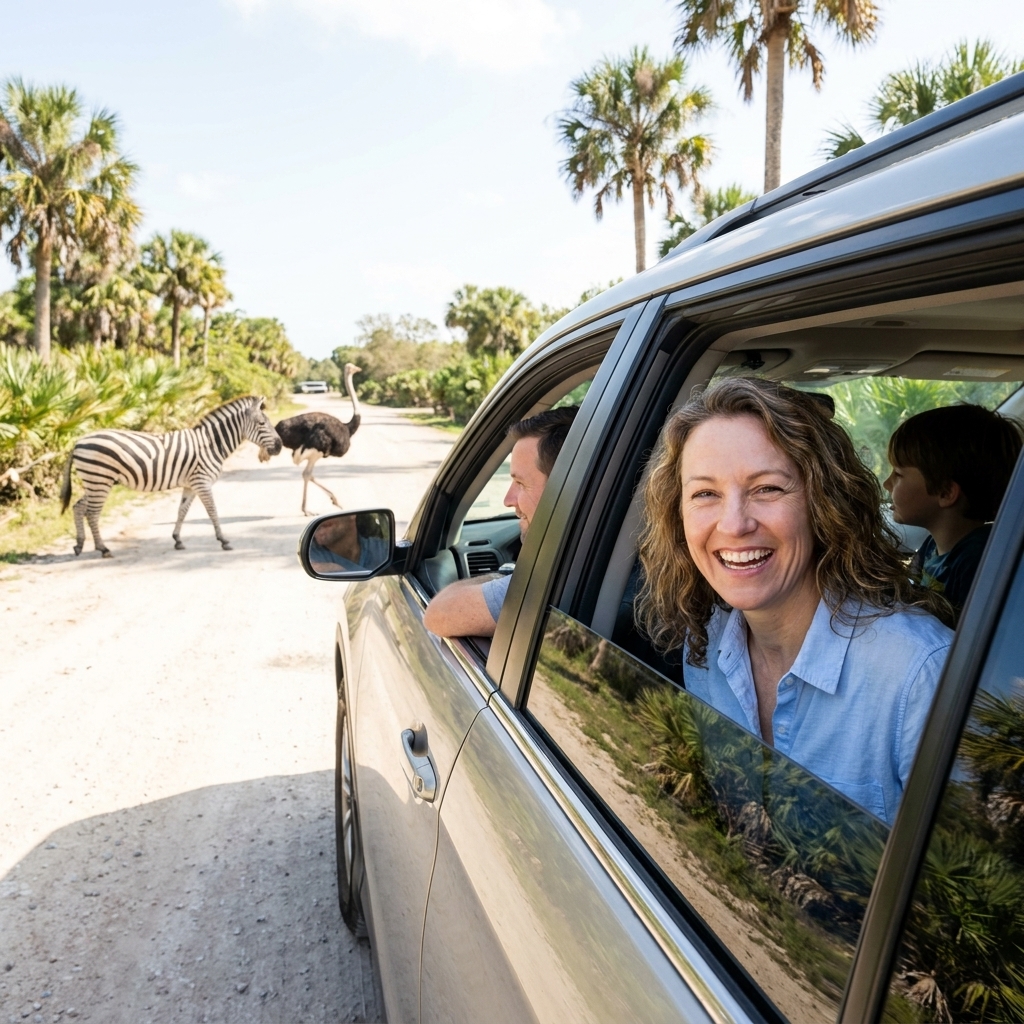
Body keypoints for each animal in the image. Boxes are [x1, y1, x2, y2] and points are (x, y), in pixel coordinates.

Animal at [60, 395, 283, 557]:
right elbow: (212, 511)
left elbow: (181, 511)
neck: (211, 444)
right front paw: (224, 540)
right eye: (262, 423)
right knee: (92, 513)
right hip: (100, 480)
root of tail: (79, 440)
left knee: (78, 507)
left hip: (96, 481)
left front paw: (177, 539)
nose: (280, 446)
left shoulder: (191, 484)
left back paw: (79, 545)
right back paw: (103, 549)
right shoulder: (202, 482)